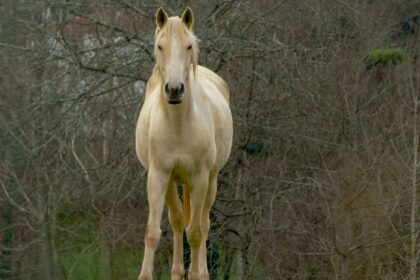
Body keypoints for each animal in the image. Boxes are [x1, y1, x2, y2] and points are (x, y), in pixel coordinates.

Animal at [135, 6, 231, 280]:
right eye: (160, 46)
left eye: (189, 46)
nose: (175, 89)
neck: (178, 125)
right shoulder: (158, 176)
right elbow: (153, 232)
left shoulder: (199, 179)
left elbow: (196, 233)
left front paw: (197, 274)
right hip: (172, 183)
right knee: (178, 222)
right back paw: (178, 272)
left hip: (210, 181)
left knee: (202, 225)